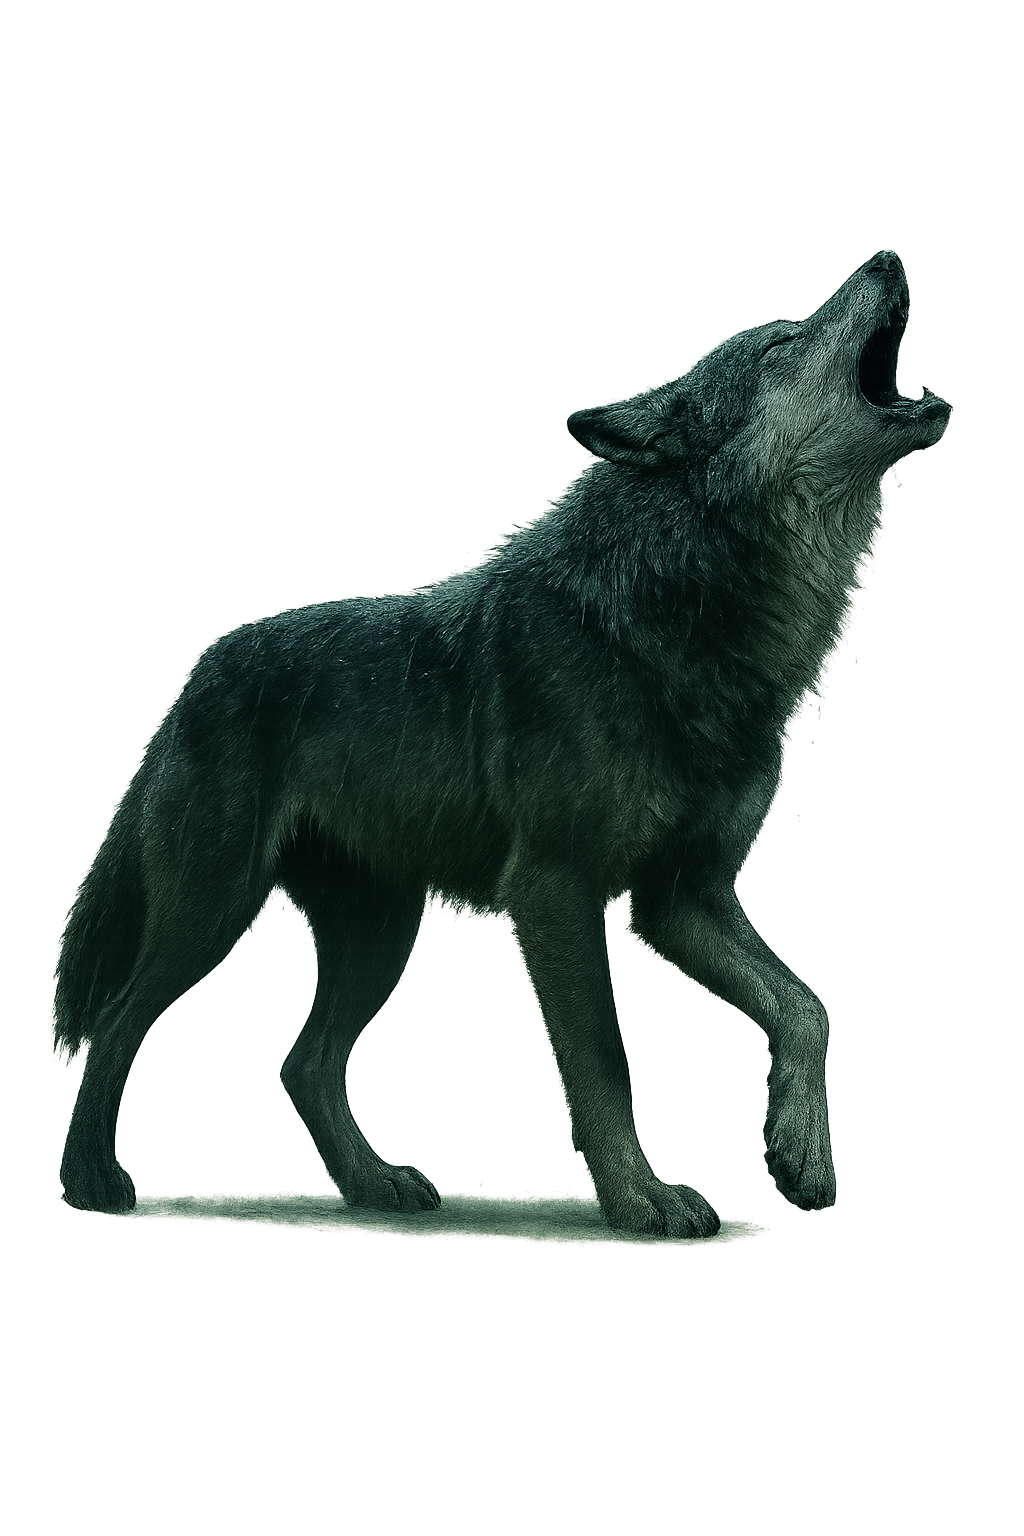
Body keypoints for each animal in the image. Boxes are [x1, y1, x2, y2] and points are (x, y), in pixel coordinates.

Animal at [55, 251, 950, 1236]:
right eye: (781, 343)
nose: (887, 257)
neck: (668, 620)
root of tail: (196, 673)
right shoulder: (557, 887)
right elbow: (605, 1055)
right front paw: (639, 1200)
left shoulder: (686, 898)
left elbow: (806, 1007)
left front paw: (801, 1154)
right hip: (212, 911)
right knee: (118, 1022)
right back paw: (91, 1182)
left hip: (379, 935)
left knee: (303, 1062)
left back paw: (374, 1186)